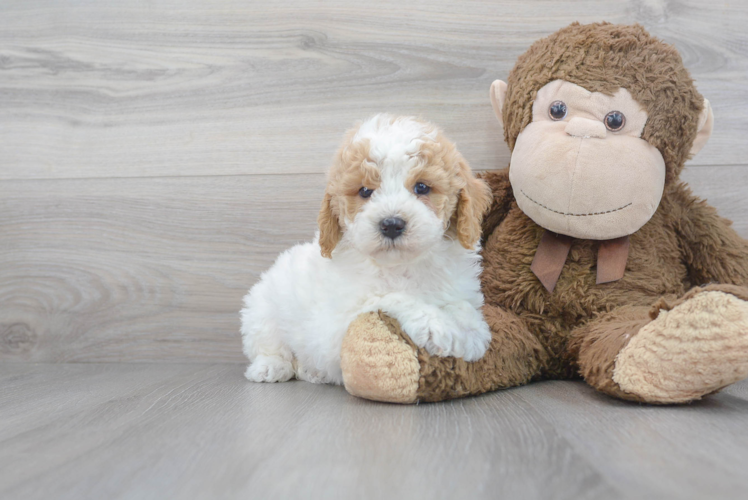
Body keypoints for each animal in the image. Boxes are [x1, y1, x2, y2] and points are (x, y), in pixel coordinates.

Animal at [243, 114, 494, 386]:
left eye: (422, 187)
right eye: (365, 191)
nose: (391, 224)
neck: (403, 265)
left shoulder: (458, 286)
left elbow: (462, 305)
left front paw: (472, 331)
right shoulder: (340, 320)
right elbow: (389, 296)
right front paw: (437, 325)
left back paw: (312, 372)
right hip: (261, 310)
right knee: (269, 346)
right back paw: (270, 367)